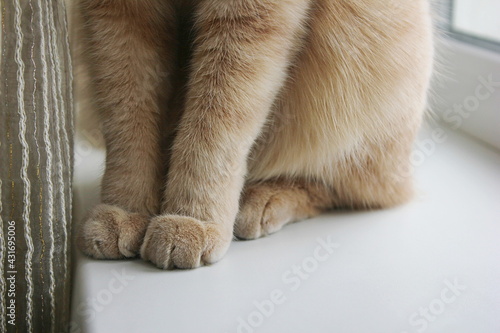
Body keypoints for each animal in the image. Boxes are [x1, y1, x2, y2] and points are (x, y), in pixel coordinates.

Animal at [77, 0, 434, 268]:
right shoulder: (117, 21)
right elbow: (129, 123)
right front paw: (124, 210)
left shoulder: (248, 19)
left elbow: (213, 125)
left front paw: (190, 218)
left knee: (348, 190)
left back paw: (266, 198)